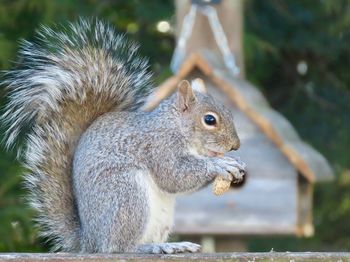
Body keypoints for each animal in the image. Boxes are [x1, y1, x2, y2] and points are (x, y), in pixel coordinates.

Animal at [1, 18, 245, 254]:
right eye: (210, 120)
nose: (235, 145)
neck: (175, 126)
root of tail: (90, 241)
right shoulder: (159, 146)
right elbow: (174, 175)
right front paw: (220, 165)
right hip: (126, 195)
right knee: (119, 247)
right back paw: (153, 247)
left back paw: (174, 245)